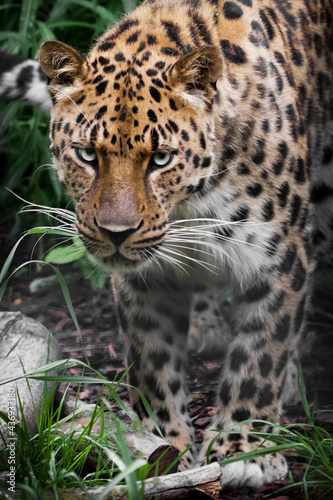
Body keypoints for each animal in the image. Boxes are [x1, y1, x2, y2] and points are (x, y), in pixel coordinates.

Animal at [35, 0, 330, 490]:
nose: (116, 233)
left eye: (161, 159)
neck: (190, 207)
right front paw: (163, 445)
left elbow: (260, 357)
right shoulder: (145, 281)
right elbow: (153, 364)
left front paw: (243, 448)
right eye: (87, 154)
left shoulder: (280, 260)